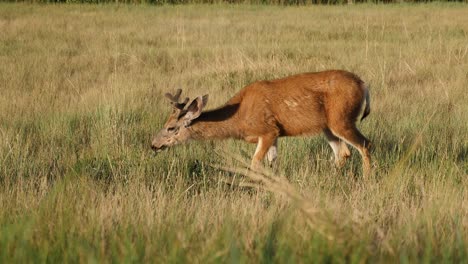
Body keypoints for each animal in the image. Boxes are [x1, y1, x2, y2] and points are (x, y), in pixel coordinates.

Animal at [154, 70, 372, 175]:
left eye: (170, 127)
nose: (153, 144)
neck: (239, 117)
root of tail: (364, 84)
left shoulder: (267, 130)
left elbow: (255, 163)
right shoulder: (275, 134)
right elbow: (272, 162)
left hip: (341, 118)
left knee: (365, 144)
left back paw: (367, 180)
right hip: (327, 126)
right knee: (343, 153)